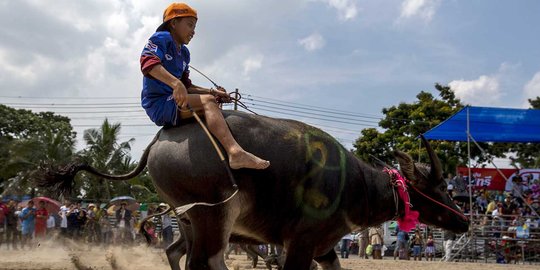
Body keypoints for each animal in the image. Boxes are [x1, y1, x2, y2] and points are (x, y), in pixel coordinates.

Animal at [38, 110, 468, 270]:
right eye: (438, 185)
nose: (465, 220)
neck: (354, 185)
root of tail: (161, 138)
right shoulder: (301, 244)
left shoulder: (324, 247)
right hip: (214, 214)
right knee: (205, 262)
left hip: (189, 219)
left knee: (181, 254)